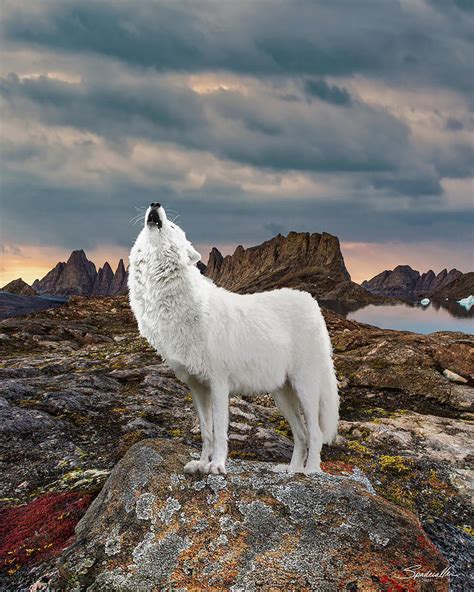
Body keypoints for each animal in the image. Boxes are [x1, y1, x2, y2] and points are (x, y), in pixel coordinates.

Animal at [128, 204, 338, 476]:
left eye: (173, 226)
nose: (155, 204)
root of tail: (312, 302)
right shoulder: (197, 387)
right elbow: (206, 431)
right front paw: (201, 463)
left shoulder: (219, 384)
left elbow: (219, 431)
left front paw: (217, 465)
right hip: (282, 395)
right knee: (301, 434)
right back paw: (291, 470)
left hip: (305, 388)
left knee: (315, 433)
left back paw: (310, 471)